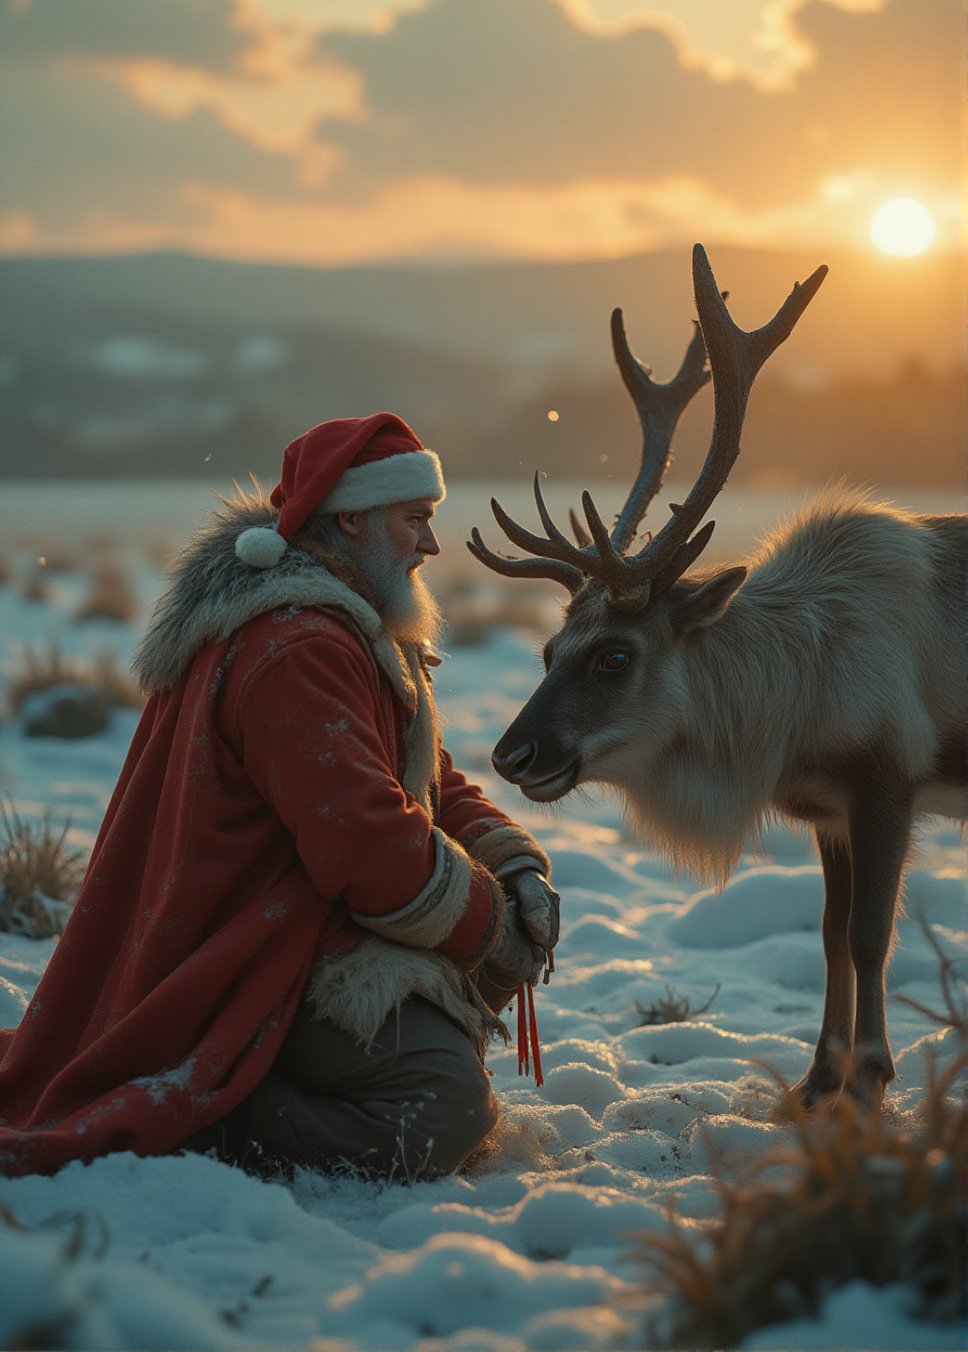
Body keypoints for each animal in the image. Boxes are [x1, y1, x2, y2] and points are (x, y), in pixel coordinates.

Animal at [468, 244, 967, 1110]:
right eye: (548, 648)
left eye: (616, 654)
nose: (510, 755)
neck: (794, 703)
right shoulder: (829, 810)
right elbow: (829, 934)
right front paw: (817, 1079)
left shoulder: (888, 781)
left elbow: (870, 934)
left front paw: (870, 1074)